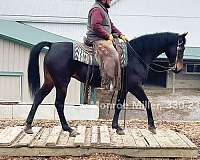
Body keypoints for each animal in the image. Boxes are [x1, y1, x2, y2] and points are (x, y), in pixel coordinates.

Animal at [24, 32, 187, 136]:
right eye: (181, 48)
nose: (178, 68)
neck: (136, 56)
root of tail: (52, 45)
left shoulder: (124, 88)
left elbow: (118, 105)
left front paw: (116, 127)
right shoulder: (135, 86)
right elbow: (147, 102)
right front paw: (152, 126)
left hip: (50, 81)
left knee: (38, 97)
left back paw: (28, 126)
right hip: (62, 83)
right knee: (59, 104)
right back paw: (68, 129)